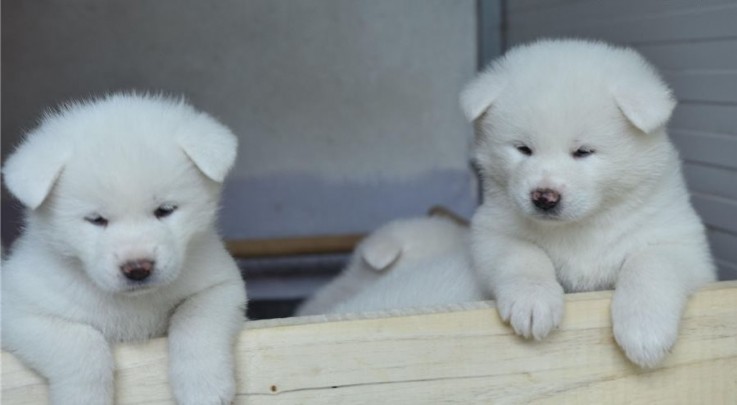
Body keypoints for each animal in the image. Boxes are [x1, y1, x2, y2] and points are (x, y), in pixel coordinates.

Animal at [0, 93, 249, 402]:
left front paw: (203, 386)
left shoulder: (220, 285)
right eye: (96, 220)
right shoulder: (19, 312)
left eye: (165, 210)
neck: (132, 303)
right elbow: (82, 343)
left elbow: (196, 319)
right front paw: (84, 398)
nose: (138, 268)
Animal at [462, 39, 716, 368]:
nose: (544, 197)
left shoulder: (679, 243)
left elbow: (648, 264)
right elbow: (523, 255)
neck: (583, 225)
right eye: (523, 149)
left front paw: (645, 330)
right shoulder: (492, 231)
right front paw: (533, 300)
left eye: (583, 151)